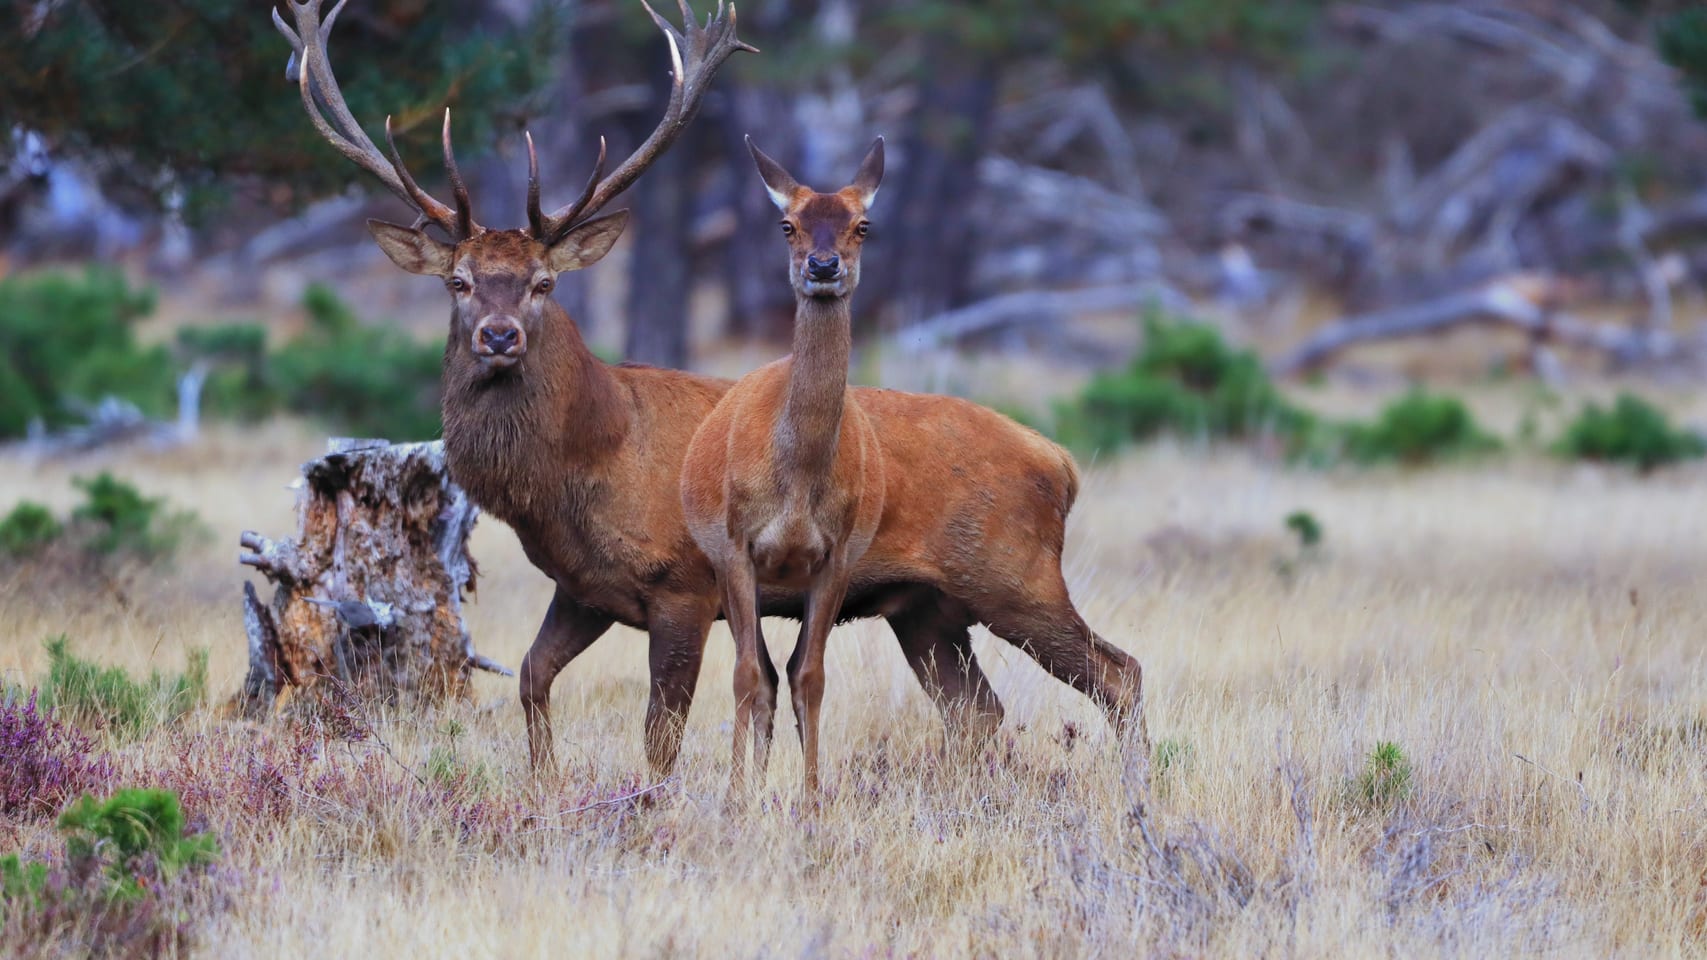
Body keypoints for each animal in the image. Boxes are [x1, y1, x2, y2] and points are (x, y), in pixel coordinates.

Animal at [680, 138, 887, 799]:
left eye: (862, 225)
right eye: (787, 224)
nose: (822, 266)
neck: (796, 485)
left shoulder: (839, 554)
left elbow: (810, 676)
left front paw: (813, 796)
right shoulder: (737, 545)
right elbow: (746, 675)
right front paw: (736, 798)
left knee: (785, 670)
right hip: (723, 567)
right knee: (759, 673)